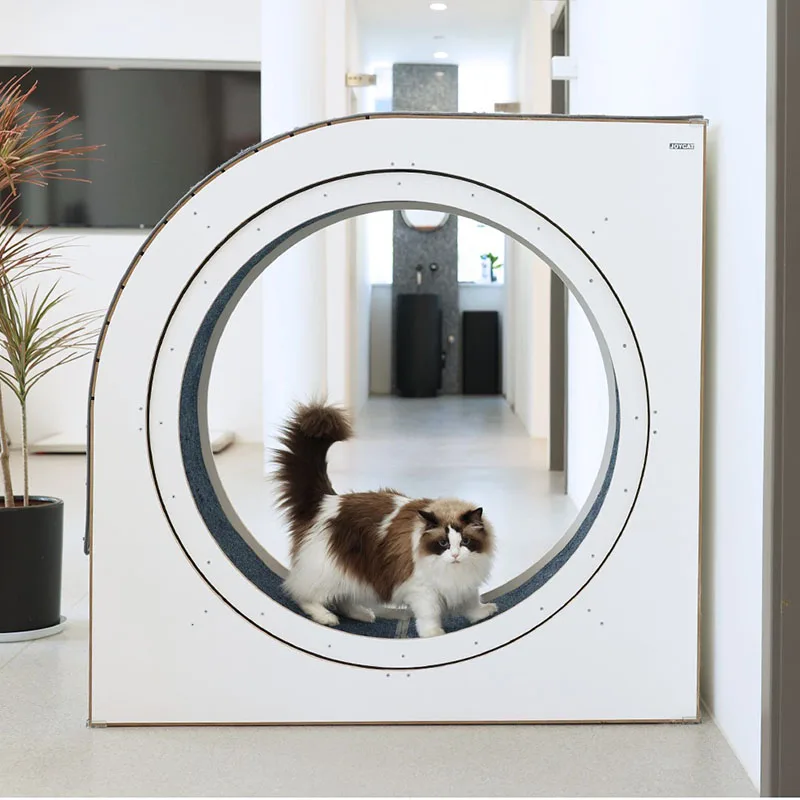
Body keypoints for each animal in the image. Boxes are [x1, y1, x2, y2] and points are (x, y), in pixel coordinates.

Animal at [273, 401, 498, 637]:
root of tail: (326, 500)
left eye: (465, 541)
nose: (454, 555)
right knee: (303, 595)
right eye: (443, 543)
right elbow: (429, 615)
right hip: (329, 571)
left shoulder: (464, 584)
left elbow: (473, 603)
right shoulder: (423, 589)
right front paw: (433, 633)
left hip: (355, 575)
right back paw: (326, 617)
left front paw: (483, 613)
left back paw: (362, 614)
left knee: (343, 599)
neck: (452, 569)